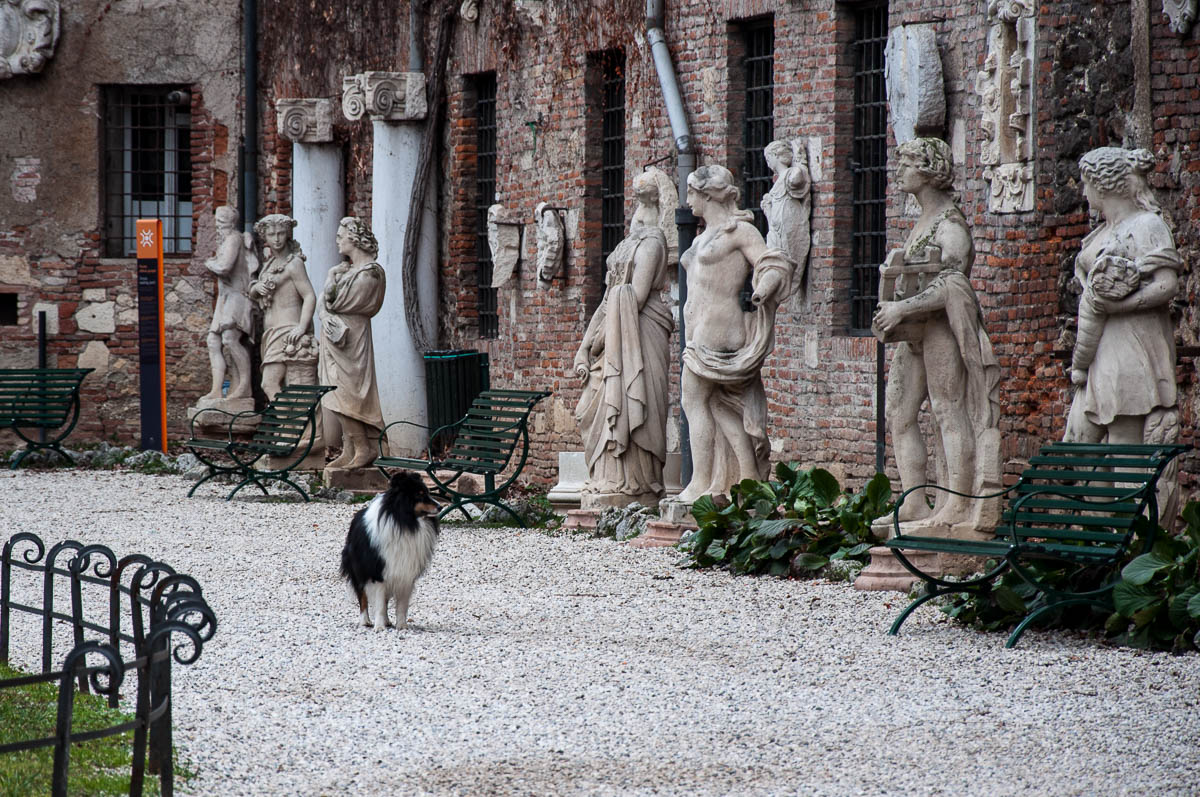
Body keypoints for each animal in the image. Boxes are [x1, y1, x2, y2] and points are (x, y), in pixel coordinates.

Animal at [338, 470, 441, 633]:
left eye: (427, 492)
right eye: (419, 494)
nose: (440, 507)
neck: (405, 523)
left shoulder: (405, 574)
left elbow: (401, 605)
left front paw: (402, 625)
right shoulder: (378, 572)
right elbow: (379, 604)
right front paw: (378, 627)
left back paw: (387, 621)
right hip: (358, 569)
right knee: (363, 596)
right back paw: (366, 621)